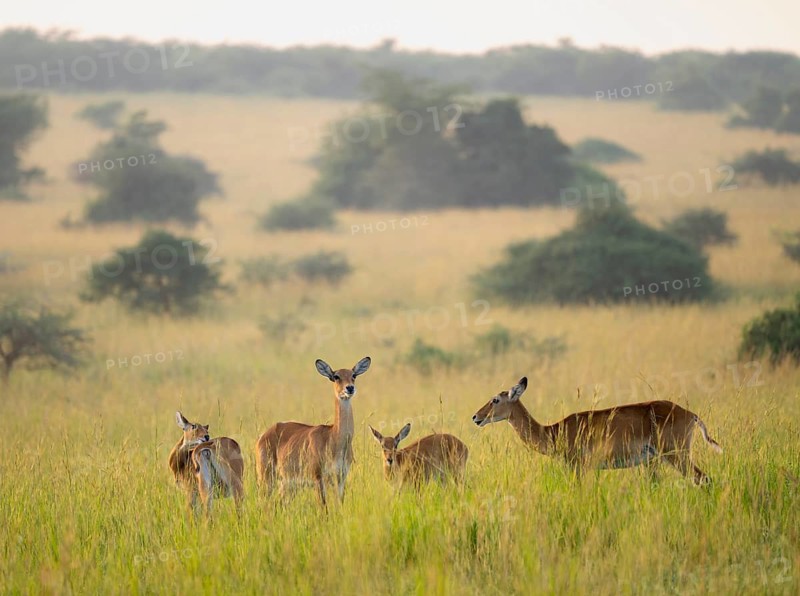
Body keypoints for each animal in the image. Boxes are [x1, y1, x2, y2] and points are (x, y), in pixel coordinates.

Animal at [255, 356, 371, 506]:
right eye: (336, 376)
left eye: (354, 375)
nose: (350, 388)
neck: (334, 439)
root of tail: (262, 437)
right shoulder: (318, 478)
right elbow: (323, 507)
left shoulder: (340, 479)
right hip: (266, 478)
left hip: (286, 484)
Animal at [472, 377, 722, 485]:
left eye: (495, 400)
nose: (476, 417)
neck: (553, 432)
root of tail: (690, 414)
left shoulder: (578, 466)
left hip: (677, 455)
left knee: (704, 478)